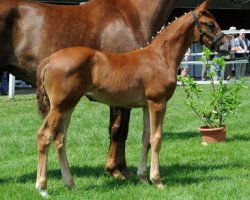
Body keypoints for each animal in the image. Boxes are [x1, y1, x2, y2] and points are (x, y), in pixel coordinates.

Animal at [34, 0, 225, 197]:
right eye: (210, 24)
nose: (225, 44)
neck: (160, 57)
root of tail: (50, 59)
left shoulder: (147, 105)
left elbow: (146, 138)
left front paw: (143, 178)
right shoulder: (158, 103)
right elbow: (156, 138)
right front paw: (157, 180)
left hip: (69, 106)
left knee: (60, 139)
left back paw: (70, 184)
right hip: (60, 106)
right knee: (44, 136)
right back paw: (43, 188)